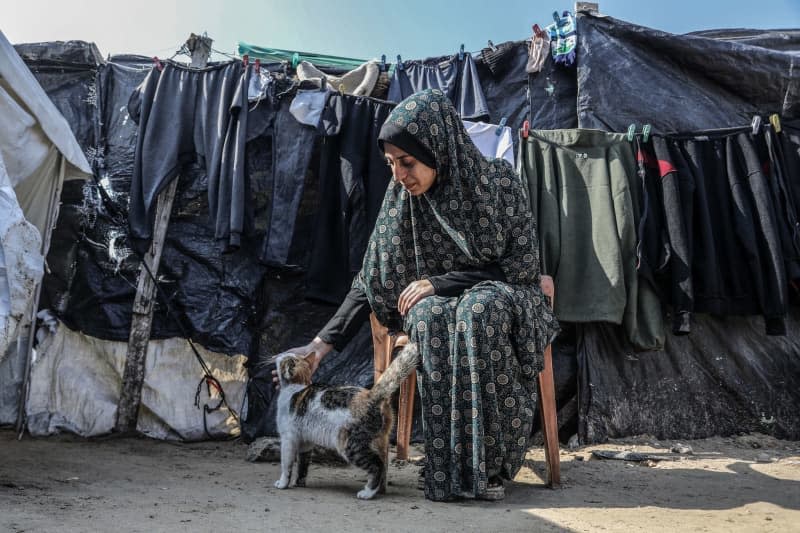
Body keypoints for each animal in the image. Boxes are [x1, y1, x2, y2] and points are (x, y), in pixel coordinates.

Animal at [272, 340, 418, 498]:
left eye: (287, 357)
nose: (280, 354)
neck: (297, 386)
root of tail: (371, 395)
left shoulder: (288, 439)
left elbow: (286, 464)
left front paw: (283, 483)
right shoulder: (306, 442)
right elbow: (302, 465)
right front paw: (299, 483)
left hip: (350, 446)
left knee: (376, 465)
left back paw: (367, 493)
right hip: (379, 441)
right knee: (384, 464)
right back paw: (379, 490)